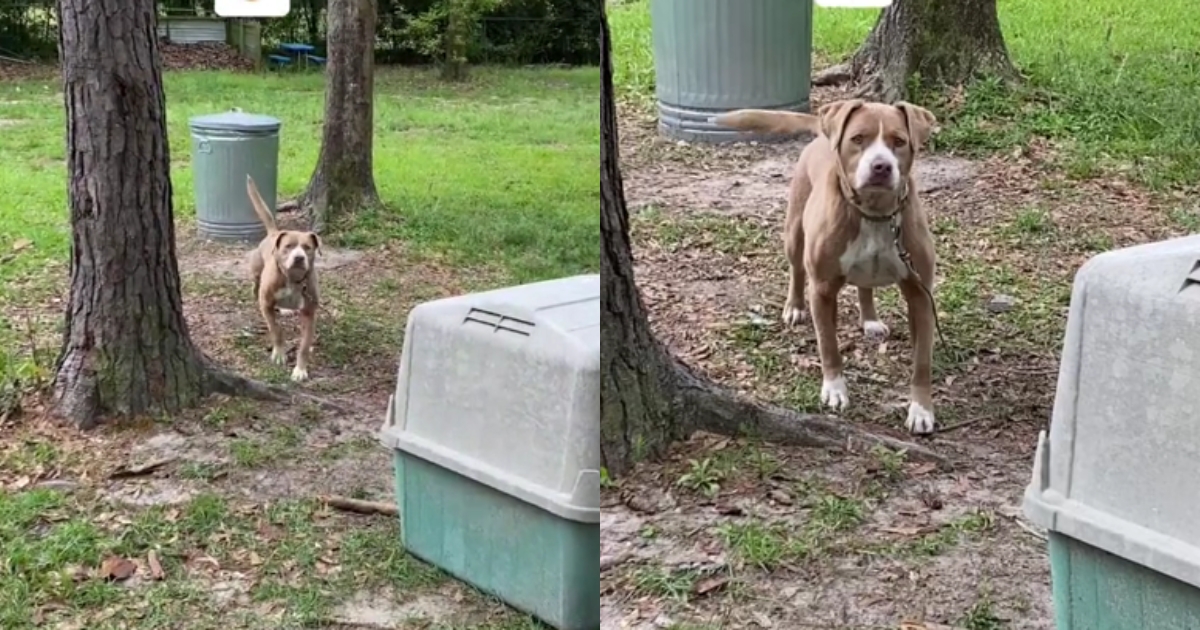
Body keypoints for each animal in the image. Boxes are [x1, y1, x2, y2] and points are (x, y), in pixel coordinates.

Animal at [243, 174, 321, 381]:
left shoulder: (309, 313)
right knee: (255, 285)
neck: (293, 280)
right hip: (256, 269)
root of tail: (274, 232)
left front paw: (300, 370)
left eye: (307, 247)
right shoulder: (267, 305)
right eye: (288, 246)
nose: (299, 257)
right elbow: (276, 330)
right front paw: (279, 353)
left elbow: (304, 346)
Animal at [705, 100, 940, 434]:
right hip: (794, 232)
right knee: (796, 270)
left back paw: (870, 319)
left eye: (899, 141)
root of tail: (822, 130)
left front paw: (921, 409)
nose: (881, 166)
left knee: (864, 286)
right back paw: (794, 308)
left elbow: (922, 361)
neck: (874, 213)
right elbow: (828, 344)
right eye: (858, 139)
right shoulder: (823, 288)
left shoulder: (920, 294)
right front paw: (835, 389)